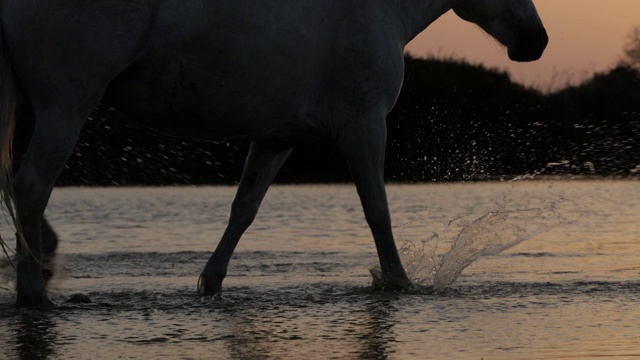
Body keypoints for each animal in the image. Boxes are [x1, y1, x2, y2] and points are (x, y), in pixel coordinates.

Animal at [0, 0, 548, 306]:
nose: (536, 41)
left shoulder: (276, 138)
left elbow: (243, 210)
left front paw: (209, 285)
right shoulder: (364, 128)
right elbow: (378, 211)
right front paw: (398, 282)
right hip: (65, 105)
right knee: (31, 186)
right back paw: (33, 290)